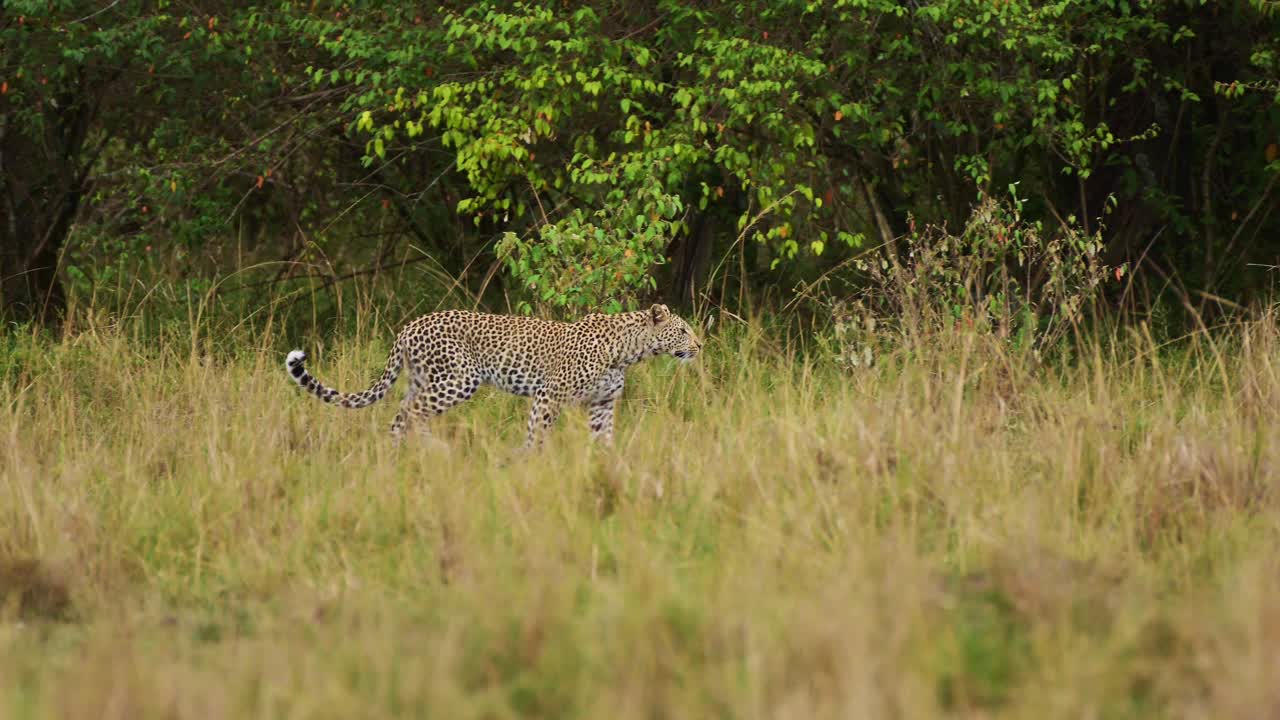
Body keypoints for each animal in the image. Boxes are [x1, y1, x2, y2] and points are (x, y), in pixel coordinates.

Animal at [284, 303, 701, 448]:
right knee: (411, 414)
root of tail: (409, 326)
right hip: (457, 379)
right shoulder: (549, 395)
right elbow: (537, 434)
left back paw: (401, 457)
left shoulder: (602, 404)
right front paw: (530, 464)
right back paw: (433, 453)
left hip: (423, 380)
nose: (700, 345)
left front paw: (609, 470)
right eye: (682, 330)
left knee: (401, 415)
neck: (627, 352)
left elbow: (605, 442)